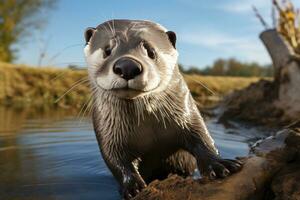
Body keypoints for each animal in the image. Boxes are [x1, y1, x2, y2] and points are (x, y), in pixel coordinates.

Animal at [83, 19, 243, 199]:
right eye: (107, 50)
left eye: (151, 51)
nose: (127, 66)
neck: (148, 128)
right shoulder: (107, 131)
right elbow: (115, 158)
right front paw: (133, 186)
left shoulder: (187, 113)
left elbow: (202, 137)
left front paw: (219, 164)